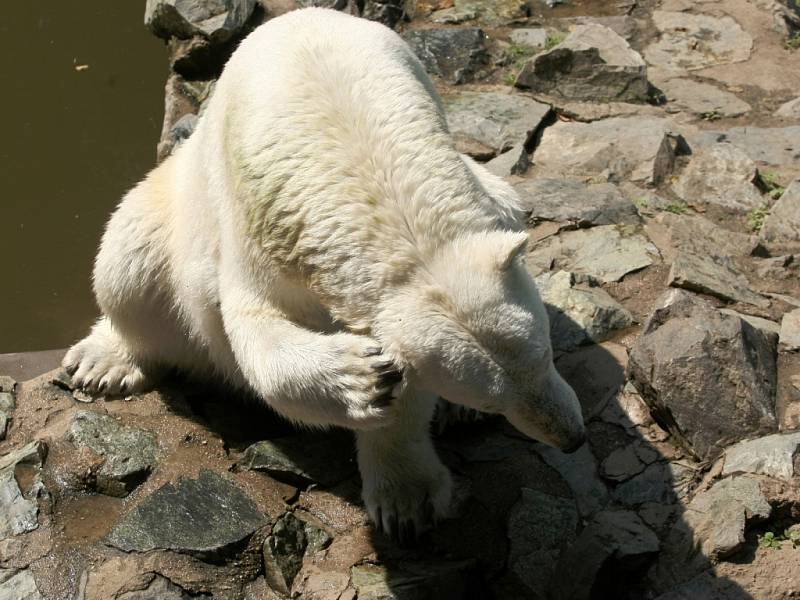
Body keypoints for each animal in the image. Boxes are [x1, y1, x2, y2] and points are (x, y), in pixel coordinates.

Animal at [62, 5, 584, 540]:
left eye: (545, 357)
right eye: (496, 400)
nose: (572, 438)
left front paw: (408, 497)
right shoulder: (260, 226)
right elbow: (254, 328)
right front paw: (364, 380)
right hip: (170, 204)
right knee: (127, 269)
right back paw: (103, 360)